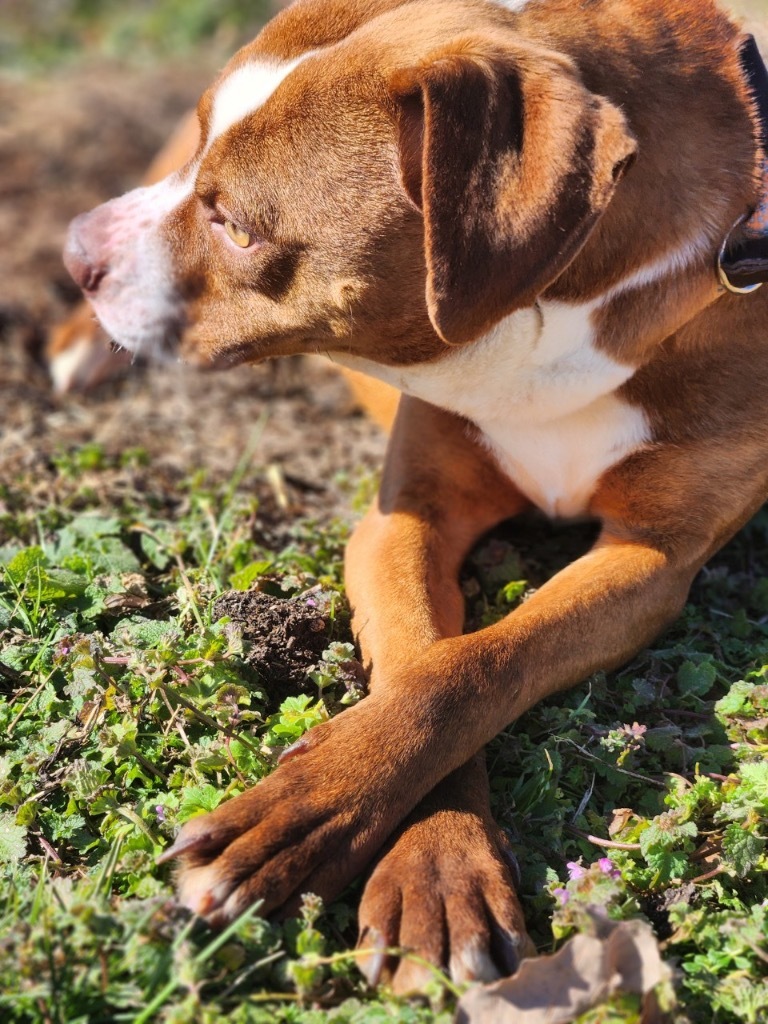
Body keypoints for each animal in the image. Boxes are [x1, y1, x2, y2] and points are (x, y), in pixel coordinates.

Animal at [57, 0, 768, 995]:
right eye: (205, 159)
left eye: (236, 226)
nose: (77, 250)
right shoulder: (406, 519)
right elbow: (418, 658)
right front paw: (415, 858)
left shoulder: (653, 555)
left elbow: (468, 666)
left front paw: (326, 828)